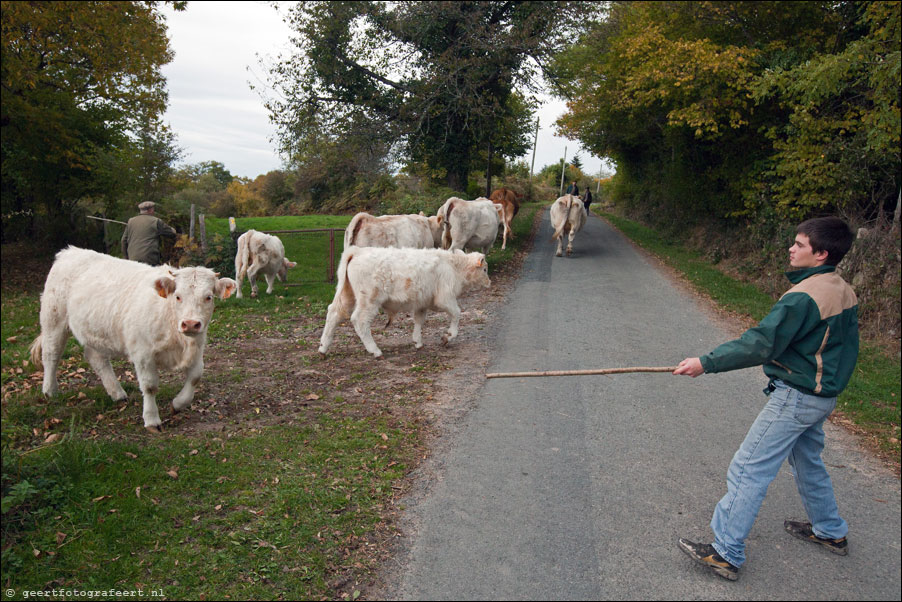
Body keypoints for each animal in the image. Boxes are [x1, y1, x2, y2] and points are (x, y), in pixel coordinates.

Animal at [29, 246, 237, 428]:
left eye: (209, 297)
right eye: (178, 296)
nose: (191, 323)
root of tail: (70, 251)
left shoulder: (198, 346)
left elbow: (195, 377)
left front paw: (178, 404)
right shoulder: (142, 353)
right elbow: (150, 386)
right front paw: (152, 420)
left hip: (93, 329)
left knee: (97, 358)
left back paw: (117, 393)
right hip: (53, 319)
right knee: (51, 354)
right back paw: (49, 391)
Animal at [320, 245, 490, 356]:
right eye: (485, 269)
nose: (489, 283)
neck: (453, 266)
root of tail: (357, 251)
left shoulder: (422, 302)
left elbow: (419, 320)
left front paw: (418, 342)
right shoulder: (445, 298)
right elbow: (456, 313)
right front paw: (448, 336)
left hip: (347, 295)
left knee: (333, 313)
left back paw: (323, 347)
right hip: (369, 300)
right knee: (359, 320)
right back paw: (375, 351)